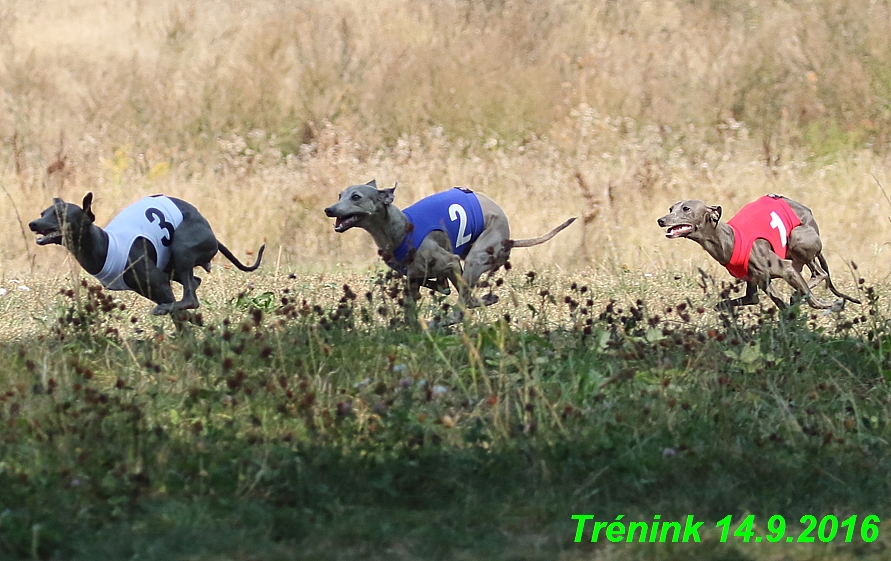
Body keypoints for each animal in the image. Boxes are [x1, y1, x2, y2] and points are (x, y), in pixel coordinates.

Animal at [30, 192, 264, 316]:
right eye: (43, 213)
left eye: (59, 214)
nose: (33, 223)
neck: (106, 245)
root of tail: (212, 234)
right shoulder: (149, 289)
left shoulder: (159, 284)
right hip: (172, 265)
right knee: (193, 282)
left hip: (182, 247)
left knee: (190, 297)